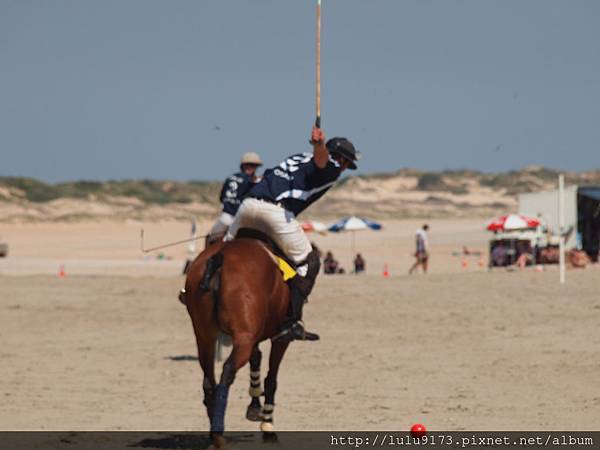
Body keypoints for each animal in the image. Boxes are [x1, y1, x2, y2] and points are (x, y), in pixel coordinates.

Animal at [184, 236, 294, 446]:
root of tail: (219, 258)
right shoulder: (279, 339)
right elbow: (271, 378)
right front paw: (268, 424)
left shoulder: (253, 337)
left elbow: (256, 360)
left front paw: (254, 407)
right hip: (243, 340)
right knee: (227, 371)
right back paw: (218, 434)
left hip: (205, 337)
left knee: (209, 380)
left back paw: (213, 431)